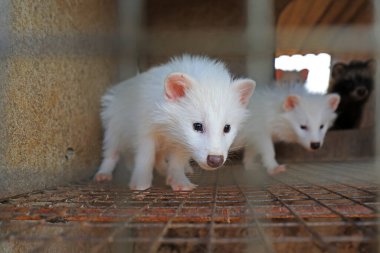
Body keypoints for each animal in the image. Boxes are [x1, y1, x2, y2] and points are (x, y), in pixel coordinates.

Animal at [94, 54, 255, 190]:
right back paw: (103, 173)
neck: (169, 127)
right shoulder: (145, 130)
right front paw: (140, 182)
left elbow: (176, 162)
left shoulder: (182, 143)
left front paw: (179, 181)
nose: (215, 160)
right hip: (113, 128)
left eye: (227, 128)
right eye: (197, 126)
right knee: (111, 152)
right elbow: (145, 157)